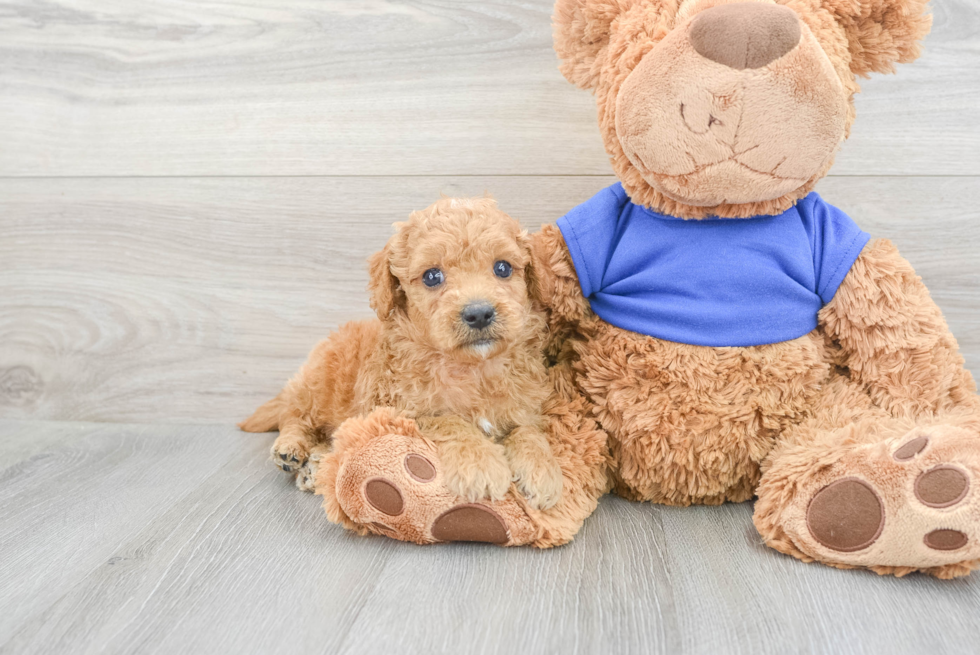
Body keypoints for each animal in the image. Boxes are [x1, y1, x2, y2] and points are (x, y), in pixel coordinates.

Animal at [240, 197, 564, 510]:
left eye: (503, 268)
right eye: (432, 276)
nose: (479, 313)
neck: (473, 367)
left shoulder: (523, 408)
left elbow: (528, 431)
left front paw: (542, 471)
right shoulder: (400, 411)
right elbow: (449, 420)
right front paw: (479, 463)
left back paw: (314, 465)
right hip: (317, 387)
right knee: (293, 416)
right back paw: (290, 449)